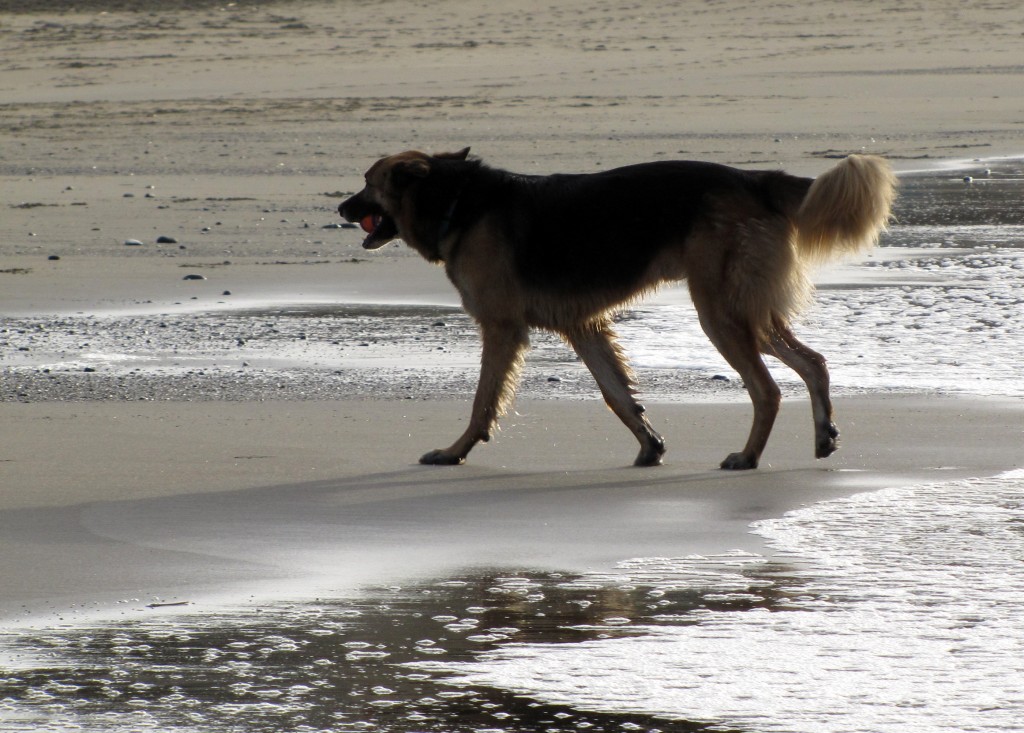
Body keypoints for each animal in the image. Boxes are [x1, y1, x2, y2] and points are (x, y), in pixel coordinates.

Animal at [337, 148, 897, 468]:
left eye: (367, 181)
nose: (340, 208)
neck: (458, 201)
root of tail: (752, 179)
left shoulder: (501, 330)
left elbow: (482, 403)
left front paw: (455, 453)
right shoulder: (584, 327)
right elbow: (618, 396)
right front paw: (650, 446)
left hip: (720, 313)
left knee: (768, 389)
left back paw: (749, 456)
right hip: (748, 310)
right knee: (813, 363)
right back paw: (823, 435)